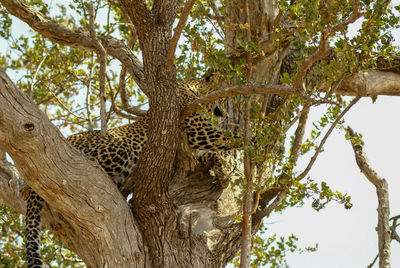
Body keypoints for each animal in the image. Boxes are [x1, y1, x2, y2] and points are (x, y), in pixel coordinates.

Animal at [21, 76, 233, 266]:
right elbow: (228, 137)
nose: (228, 116)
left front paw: (222, 173)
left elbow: (210, 155)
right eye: (223, 100)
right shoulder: (196, 129)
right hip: (119, 147)